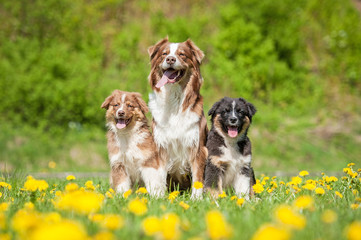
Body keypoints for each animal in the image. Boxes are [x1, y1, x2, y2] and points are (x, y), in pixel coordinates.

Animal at [147, 38, 208, 199]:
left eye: (182, 54)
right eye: (164, 53)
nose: (170, 59)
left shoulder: (198, 147)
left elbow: (197, 176)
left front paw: (196, 199)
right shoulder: (161, 146)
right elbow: (160, 175)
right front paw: (159, 196)